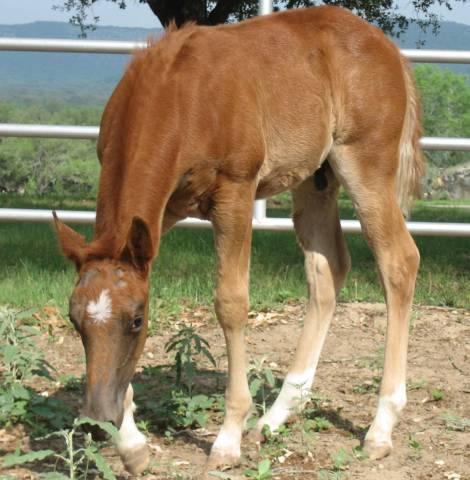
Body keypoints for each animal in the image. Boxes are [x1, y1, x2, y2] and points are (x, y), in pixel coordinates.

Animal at [53, 4, 424, 476]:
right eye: (74, 320)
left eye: (136, 320)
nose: (97, 421)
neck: (180, 94)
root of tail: (388, 48)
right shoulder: (161, 212)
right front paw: (132, 444)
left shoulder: (236, 191)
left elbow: (231, 303)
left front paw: (227, 440)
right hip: (316, 178)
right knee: (328, 269)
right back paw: (278, 414)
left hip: (365, 163)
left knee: (398, 260)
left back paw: (380, 427)